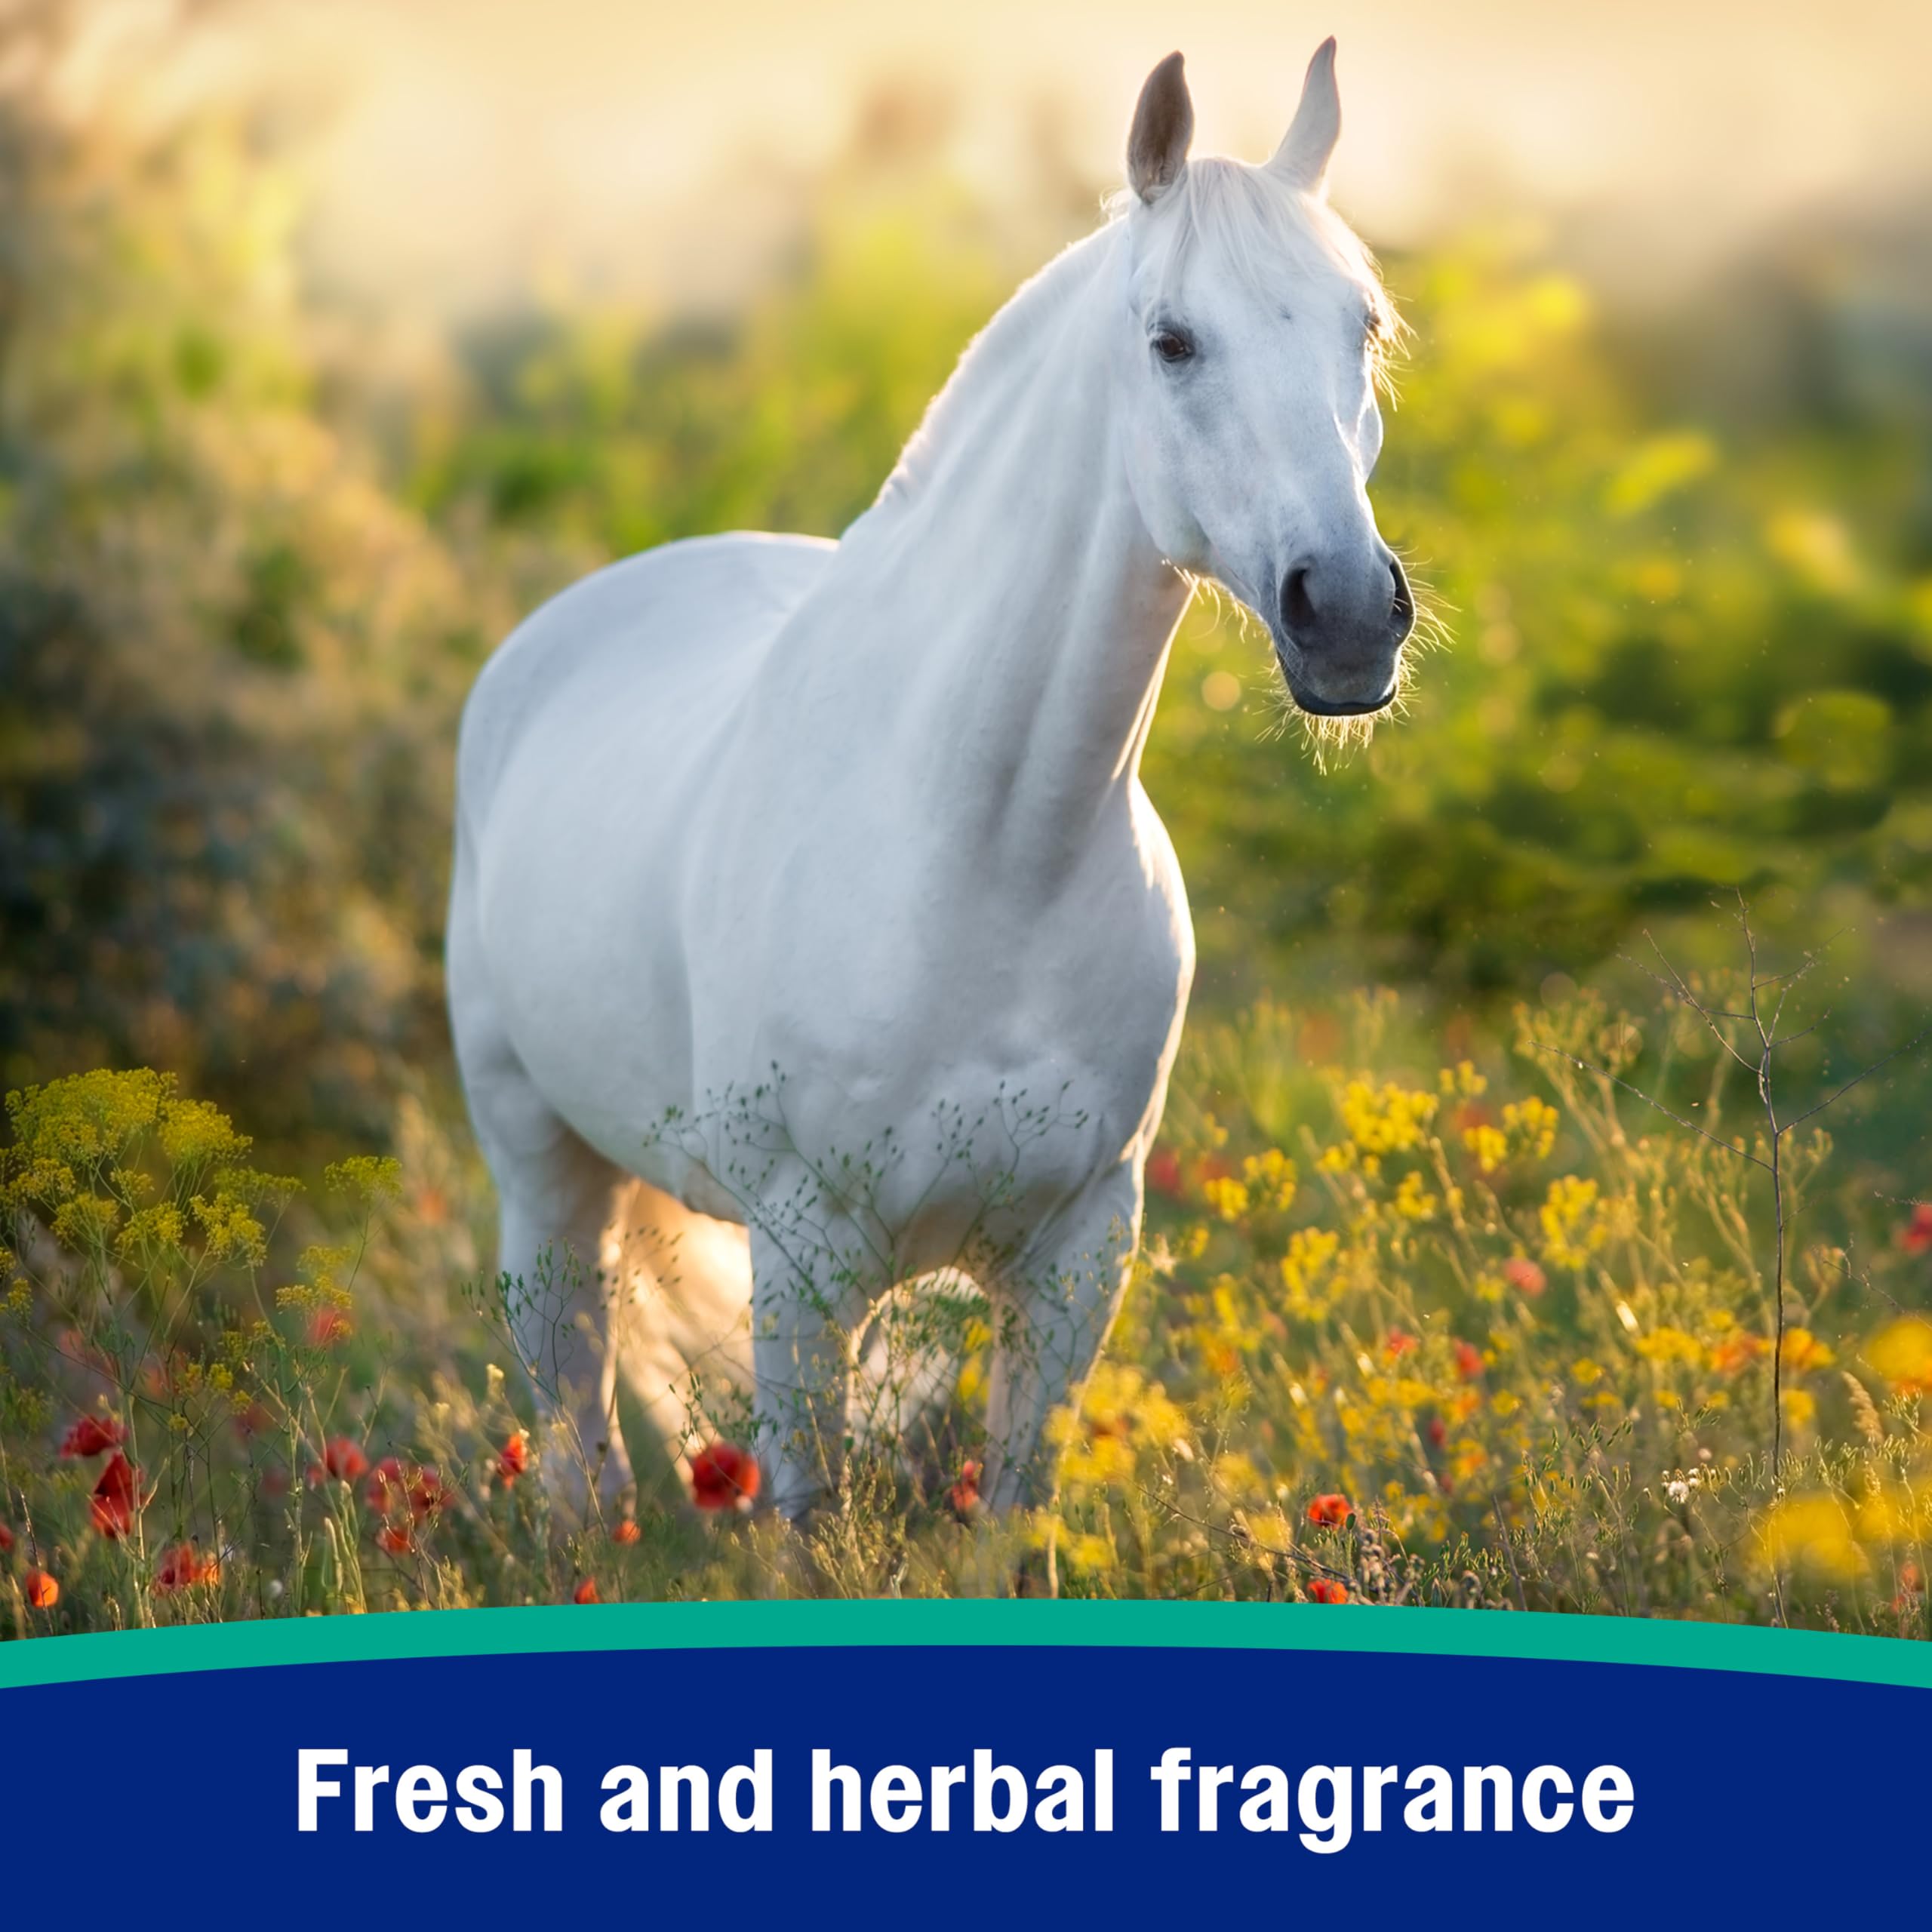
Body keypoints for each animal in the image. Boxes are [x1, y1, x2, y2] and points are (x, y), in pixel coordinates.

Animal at [447, 40, 1416, 1520]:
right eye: (1172, 340)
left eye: (1361, 326)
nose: (1351, 615)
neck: (989, 851)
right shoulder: (803, 1262)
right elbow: (803, 1521)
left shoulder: (1078, 1257)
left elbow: (1014, 1517)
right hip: (543, 1182)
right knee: (578, 1447)